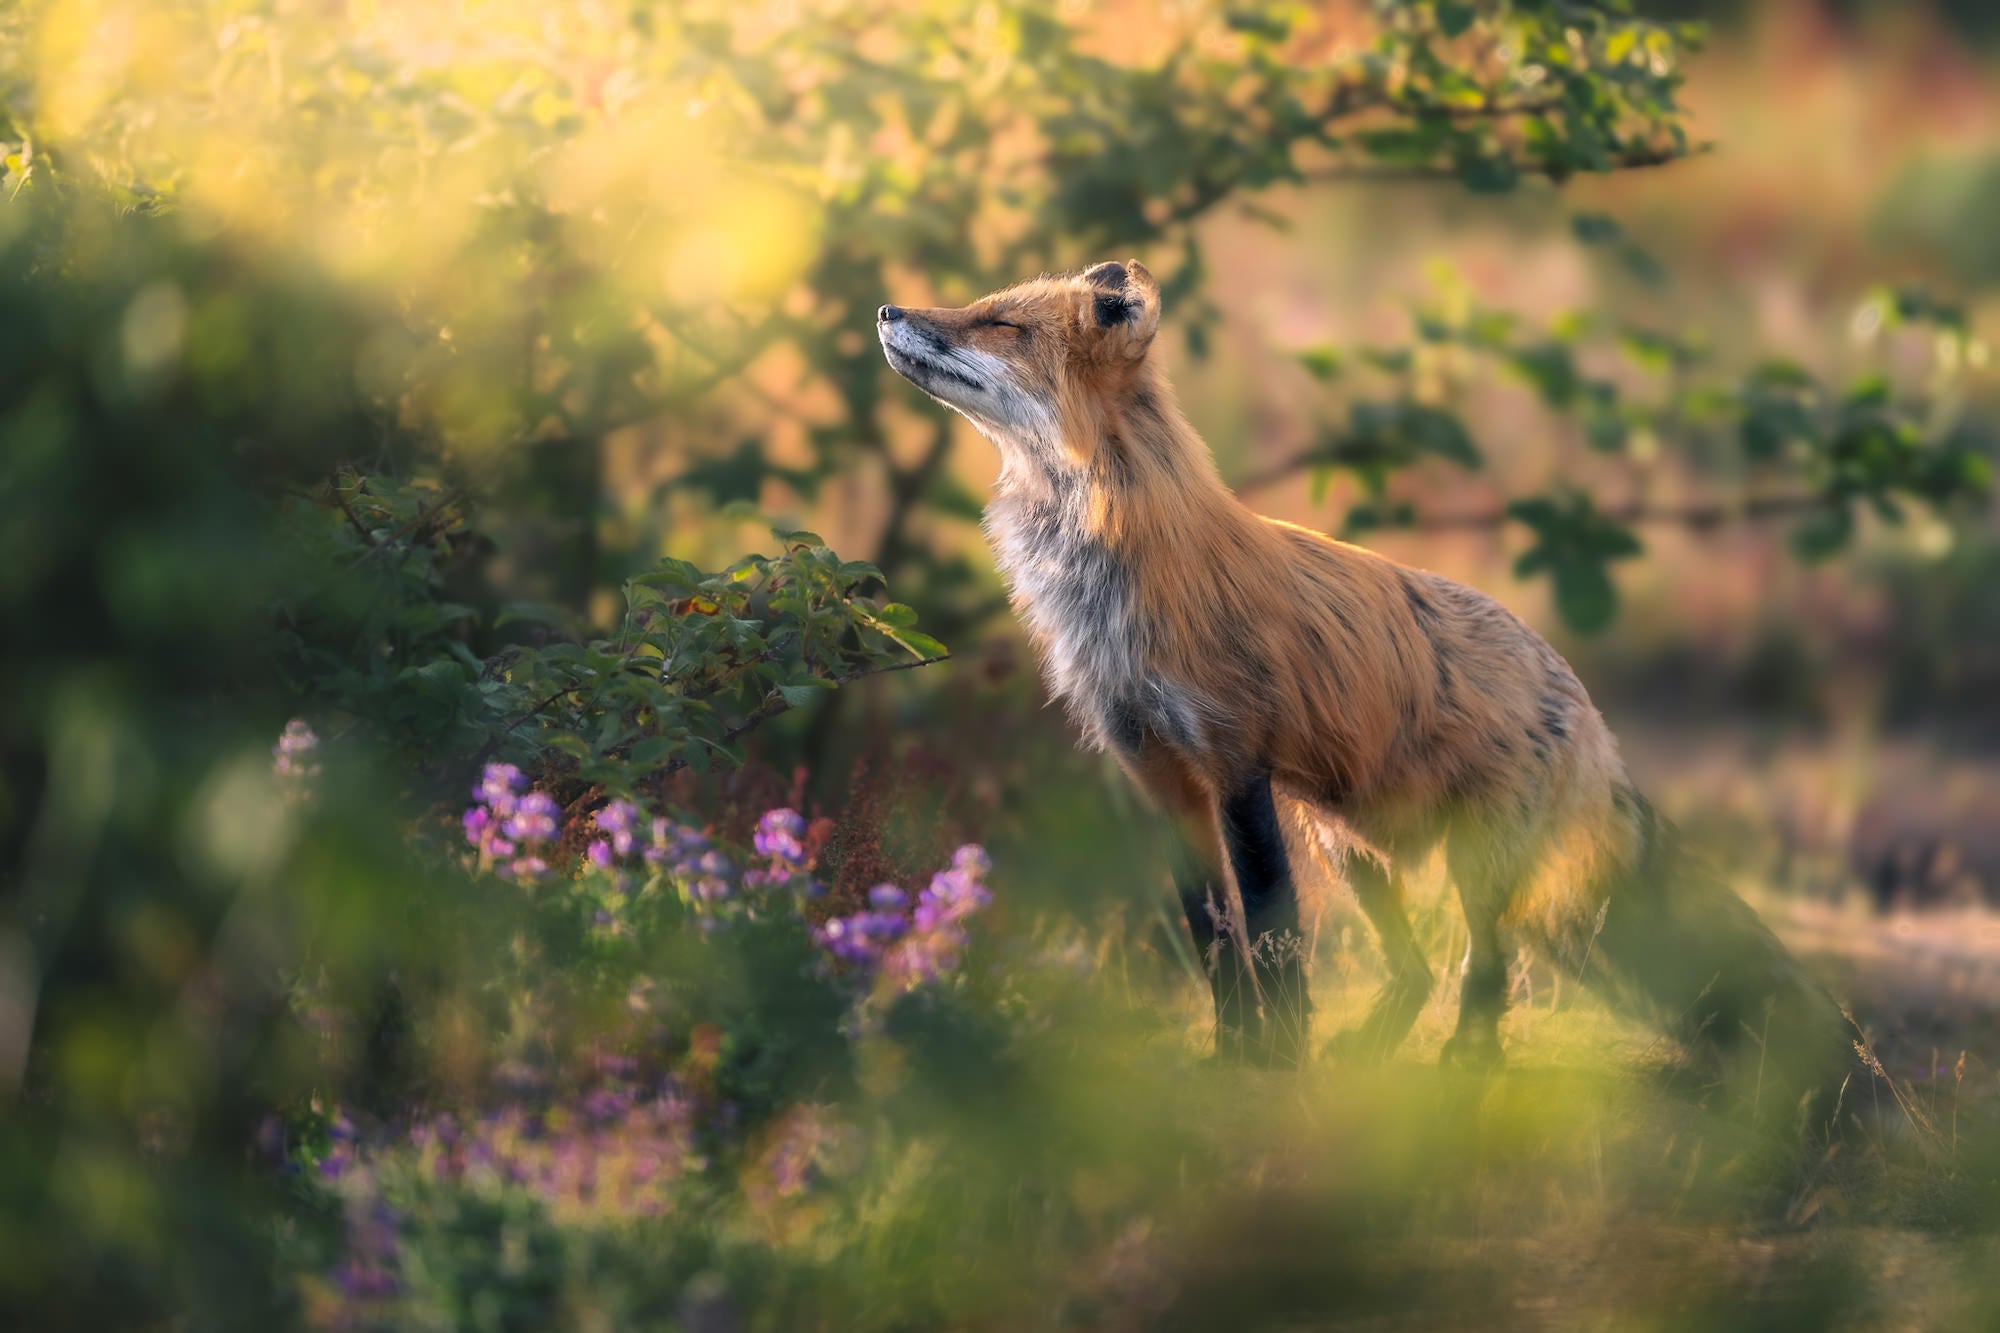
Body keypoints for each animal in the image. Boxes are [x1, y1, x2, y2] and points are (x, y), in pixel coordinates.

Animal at [877, 259, 1855, 1121]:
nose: (888, 308)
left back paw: (1462, 1071)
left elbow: (1274, 940)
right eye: (982, 305)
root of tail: (1583, 703)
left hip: (1473, 863)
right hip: (1353, 849)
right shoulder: (1157, 774)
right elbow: (1215, 942)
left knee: (1487, 972)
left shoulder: (1236, 763)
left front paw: (1280, 1064)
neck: (1110, 570)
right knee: (1419, 970)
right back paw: (1382, 1054)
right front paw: (1229, 1059)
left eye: (1000, 322)